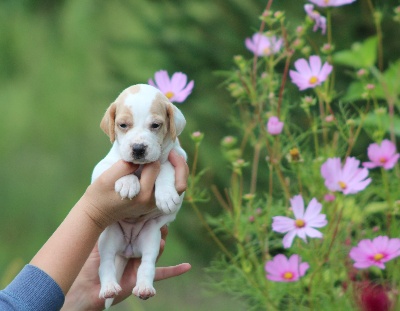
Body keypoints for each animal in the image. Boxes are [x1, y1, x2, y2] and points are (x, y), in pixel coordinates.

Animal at [92, 83, 188, 310]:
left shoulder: (179, 157)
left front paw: (166, 195)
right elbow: (122, 167)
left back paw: (144, 288)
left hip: (151, 238)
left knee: (146, 266)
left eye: (155, 125)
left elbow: (165, 166)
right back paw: (109, 287)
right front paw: (128, 182)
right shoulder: (101, 170)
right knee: (106, 264)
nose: (138, 148)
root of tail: (128, 249)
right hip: (107, 239)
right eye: (123, 125)